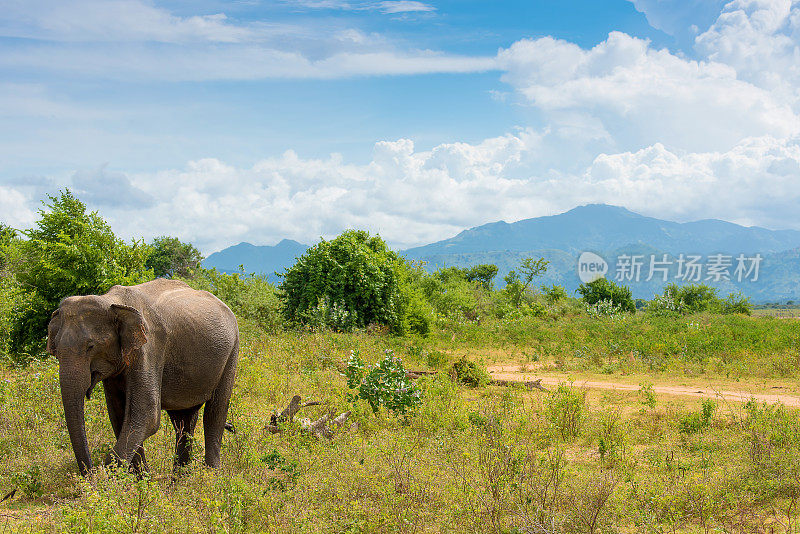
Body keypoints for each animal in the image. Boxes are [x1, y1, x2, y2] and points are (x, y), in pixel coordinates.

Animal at [47, 278, 239, 476]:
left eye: (90, 347)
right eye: (56, 351)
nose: (90, 473)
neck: (111, 301)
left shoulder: (150, 347)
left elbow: (146, 415)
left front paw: (106, 479)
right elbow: (119, 416)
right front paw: (142, 479)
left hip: (232, 352)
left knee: (214, 413)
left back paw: (212, 475)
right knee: (183, 421)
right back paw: (180, 480)